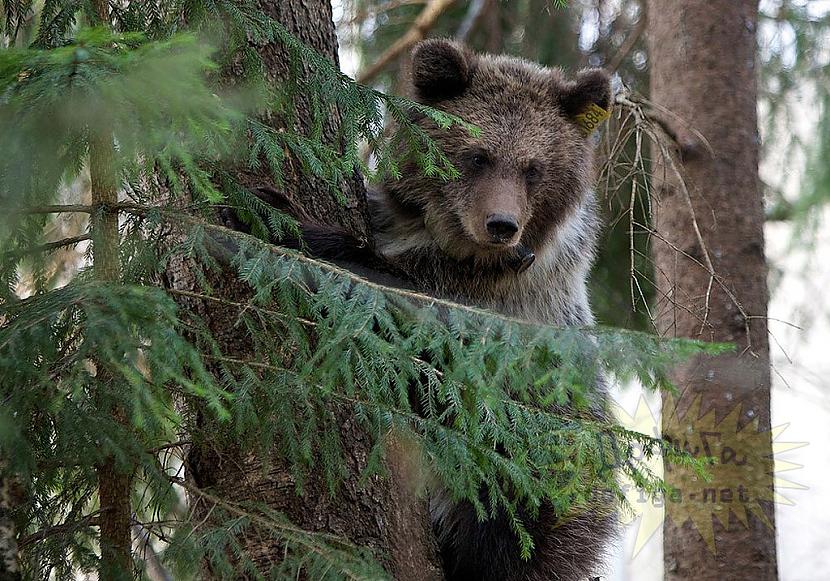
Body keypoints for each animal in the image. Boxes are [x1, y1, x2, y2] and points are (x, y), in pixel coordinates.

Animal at [237, 37, 616, 580]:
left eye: (533, 168)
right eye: (477, 156)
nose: (501, 224)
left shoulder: (484, 303)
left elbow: (384, 291)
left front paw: (277, 216)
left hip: (531, 455)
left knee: (505, 528)